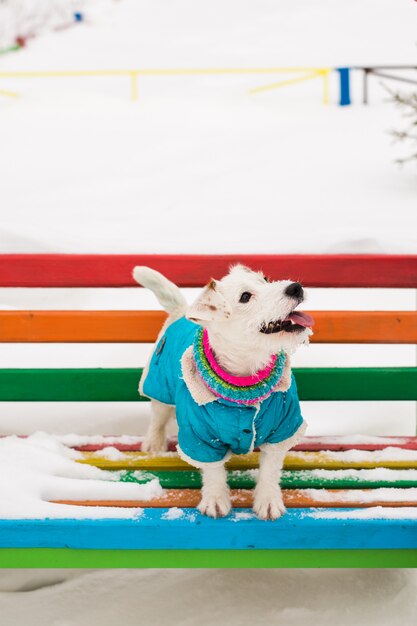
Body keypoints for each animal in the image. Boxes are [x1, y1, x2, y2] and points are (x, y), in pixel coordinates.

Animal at [133, 266, 312, 520]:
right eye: (245, 296)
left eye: (265, 279)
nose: (295, 287)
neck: (244, 382)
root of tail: (181, 312)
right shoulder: (200, 437)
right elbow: (213, 470)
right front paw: (216, 500)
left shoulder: (282, 427)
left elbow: (270, 469)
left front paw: (268, 501)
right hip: (160, 382)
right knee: (158, 416)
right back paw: (154, 443)